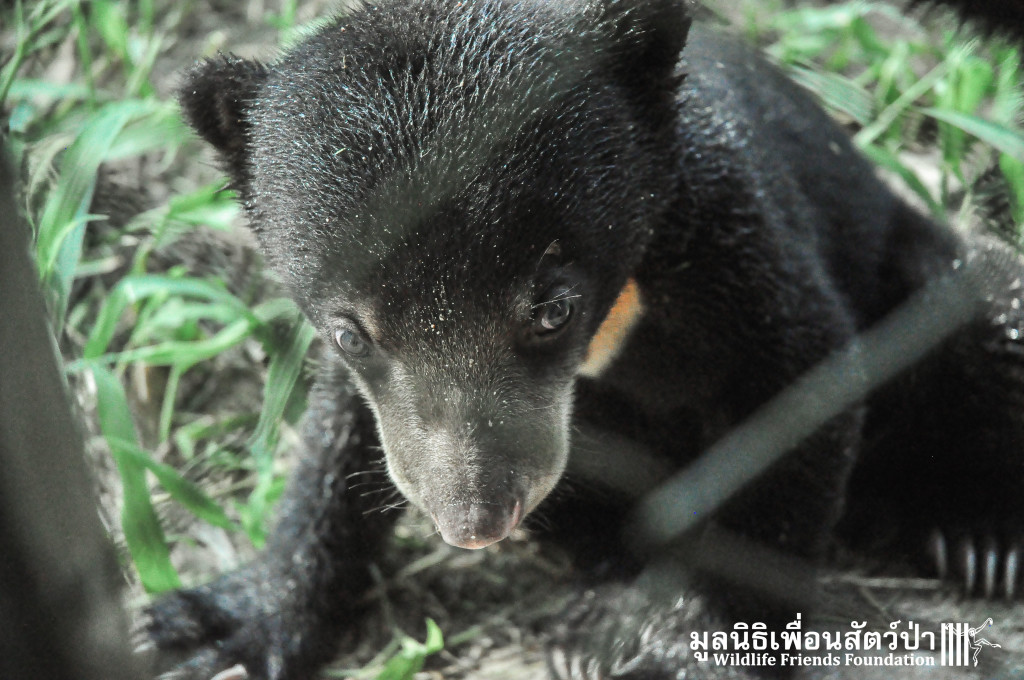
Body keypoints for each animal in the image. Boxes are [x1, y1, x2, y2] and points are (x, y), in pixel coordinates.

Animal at [145, 0, 1024, 678]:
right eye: (350, 330)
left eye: (551, 309)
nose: (473, 518)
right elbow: (341, 438)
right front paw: (222, 623)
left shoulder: (735, 239)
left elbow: (795, 391)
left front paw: (686, 645)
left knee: (979, 303)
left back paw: (979, 539)